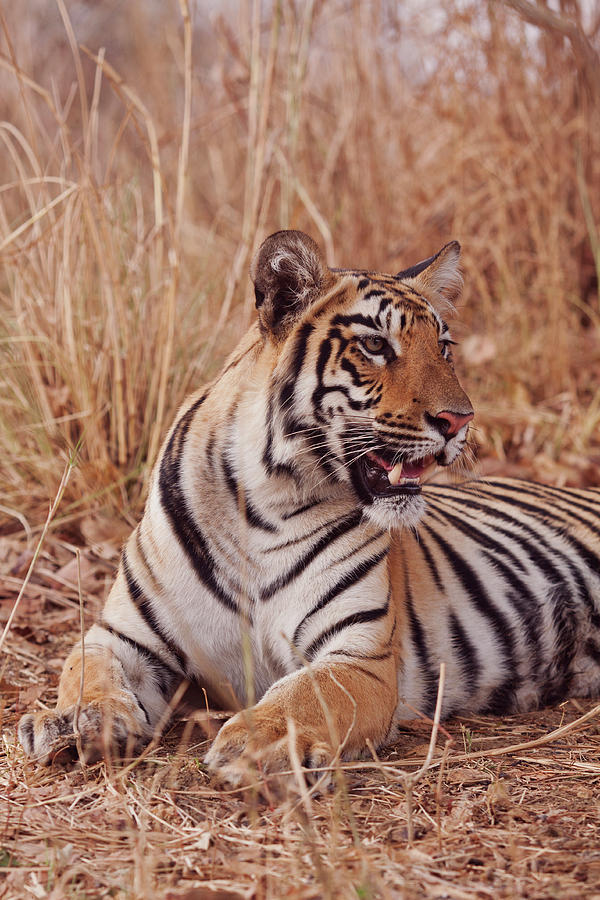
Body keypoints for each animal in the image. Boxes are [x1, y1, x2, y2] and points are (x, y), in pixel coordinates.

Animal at [16, 232, 600, 788]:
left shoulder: (359, 654)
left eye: (443, 347)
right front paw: (75, 721)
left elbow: (306, 693)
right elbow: (85, 670)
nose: (460, 420)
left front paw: (256, 742)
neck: (261, 507)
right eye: (375, 344)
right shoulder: (124, 636)